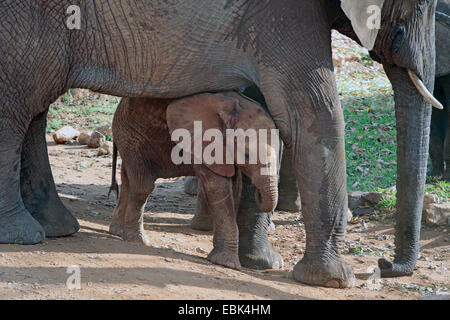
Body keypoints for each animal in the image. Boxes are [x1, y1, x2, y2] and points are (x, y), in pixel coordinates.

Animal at [109, 92, 278, 270]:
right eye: (246, 155)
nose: (258, 194)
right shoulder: (205, 144)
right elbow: (218, 188)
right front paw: (227, 263)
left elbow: (233, 187)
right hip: (131, 136)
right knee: (142, 185)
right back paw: (138, 240)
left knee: (127, 178)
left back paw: (118, 231)